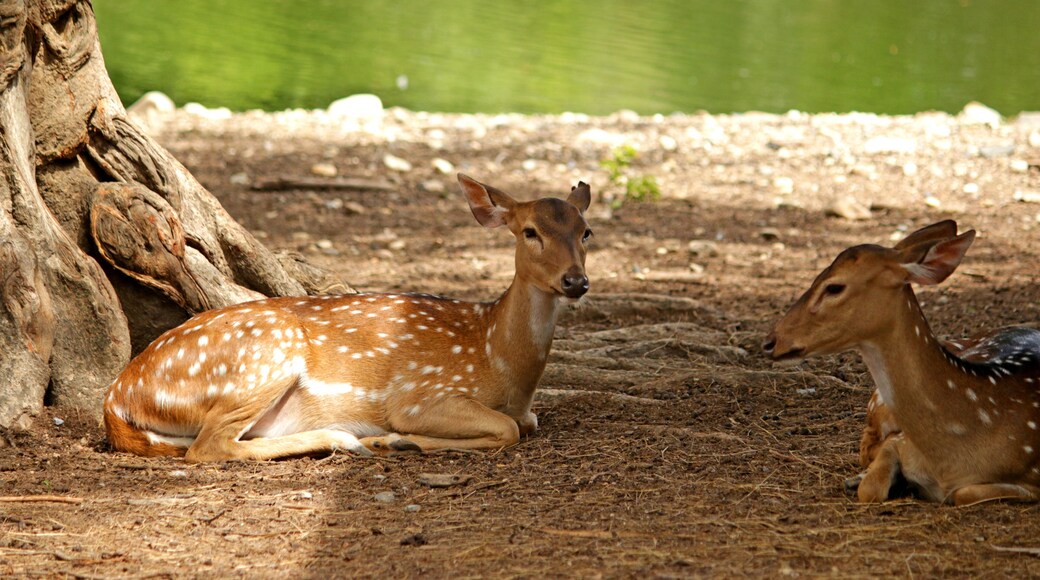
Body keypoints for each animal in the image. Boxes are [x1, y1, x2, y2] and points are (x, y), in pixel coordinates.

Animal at [103, 174, 593, 462]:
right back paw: (346, 439)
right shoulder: (420, 395)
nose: (576, 280)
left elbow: (525, 423)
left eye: (586, 231)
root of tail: (117, 398)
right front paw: (393, 439)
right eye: (530, 231)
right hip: (263, 357)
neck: (499, 358)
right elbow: (507, 428)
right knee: (209, 447)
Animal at [763, 220, 1040, 505]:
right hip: (878, 402)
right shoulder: (902, 440)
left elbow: (962, 493)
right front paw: (874, 481)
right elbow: (871, 488)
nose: (771, 341)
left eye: (834, 287)